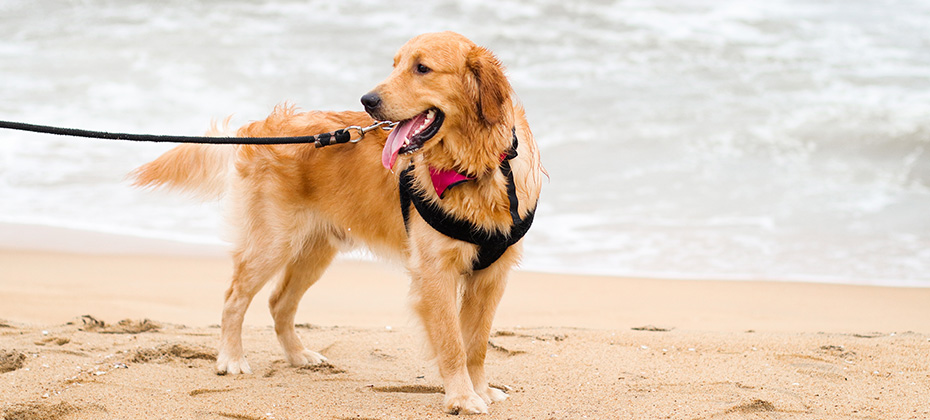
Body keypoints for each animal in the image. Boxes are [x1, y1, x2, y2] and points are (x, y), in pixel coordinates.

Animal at [127, 32, 540, 414]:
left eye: (422, 68)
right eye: (395, 65)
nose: (367, 101)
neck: (473, 167)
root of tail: (261, 126)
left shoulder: (491, 276)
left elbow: (477, 344)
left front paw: (481, 390)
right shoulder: (435, 273)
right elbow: (453, 344)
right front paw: (462, 398)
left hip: (316, 251)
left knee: (279, 302)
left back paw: (299, 356)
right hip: (272, 243)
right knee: (234, 298)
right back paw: (231, 359)